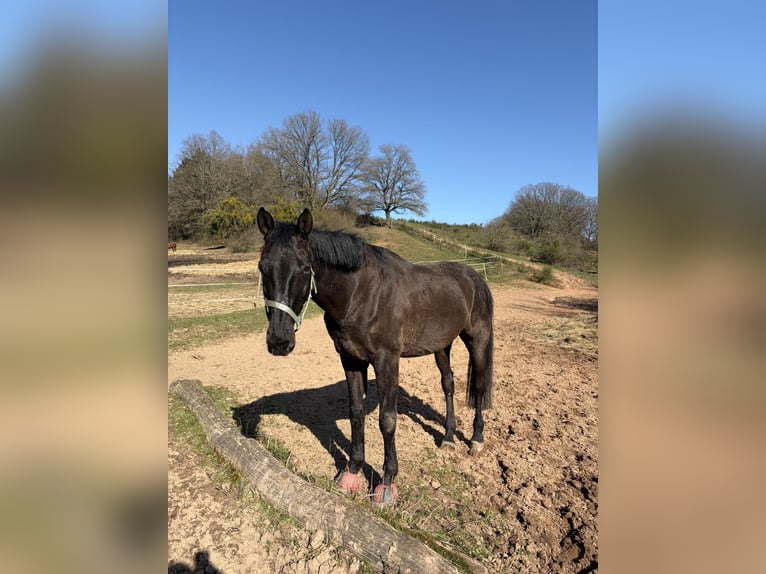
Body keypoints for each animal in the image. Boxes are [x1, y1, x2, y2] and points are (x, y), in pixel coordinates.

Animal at [256, 208, 494, 504]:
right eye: (262, 267)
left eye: (305, 268)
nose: (279, 341)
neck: (361, 293)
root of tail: (475, 278)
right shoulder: (350, 359)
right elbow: (356, 413)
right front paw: (351, 473)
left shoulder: (386, 361)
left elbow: (387, 420)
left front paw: (387, 484)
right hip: (442, 345)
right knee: (448, 384)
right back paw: (448, 438)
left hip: (477, 340)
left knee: (480, 387)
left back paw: (476, 439)